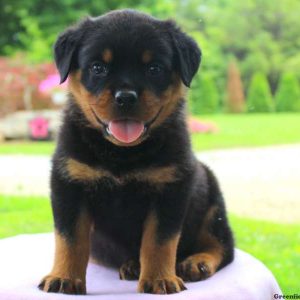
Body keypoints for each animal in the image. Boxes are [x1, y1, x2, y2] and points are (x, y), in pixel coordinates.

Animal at [38, 9, 234, 296]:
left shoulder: (170, 189)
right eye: (98, 67)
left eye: (154, 69)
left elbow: (159, 241)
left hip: (212, 200)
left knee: (222, 245)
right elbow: (69, 239)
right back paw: (133, 265)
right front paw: (64, 277)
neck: (122, 154)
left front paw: (160, 279)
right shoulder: (69, 183)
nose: (126, 97)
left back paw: (196, 262)